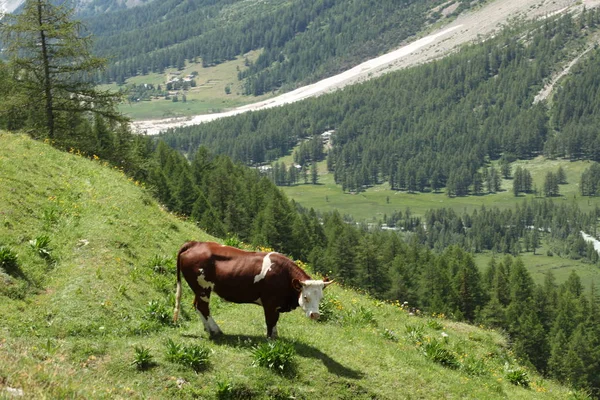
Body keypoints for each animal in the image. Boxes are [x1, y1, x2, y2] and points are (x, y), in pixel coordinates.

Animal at [172, 241, 332, 338]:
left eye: (321, 298)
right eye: (305, 297)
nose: (315, 315)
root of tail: (195, 243)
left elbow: (275, 322)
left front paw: (276, 337)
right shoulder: (270, 303)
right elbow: (271, 321)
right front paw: (270, 340)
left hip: (199, 289)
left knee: (197, 306)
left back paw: (209, 329)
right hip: (203, 288)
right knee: (203, 307)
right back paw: (216, 330)